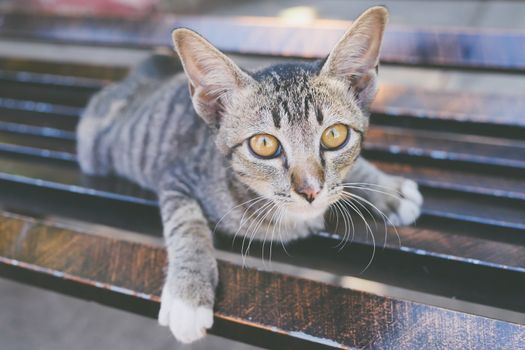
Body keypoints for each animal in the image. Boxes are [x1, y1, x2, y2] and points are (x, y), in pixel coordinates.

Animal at [77, 6, 422, 344]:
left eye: (334, 135)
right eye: (264, 144)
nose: (310, 190)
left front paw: (389, 189)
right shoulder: (176, 175)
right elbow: (185, 222)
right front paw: (188, 293)